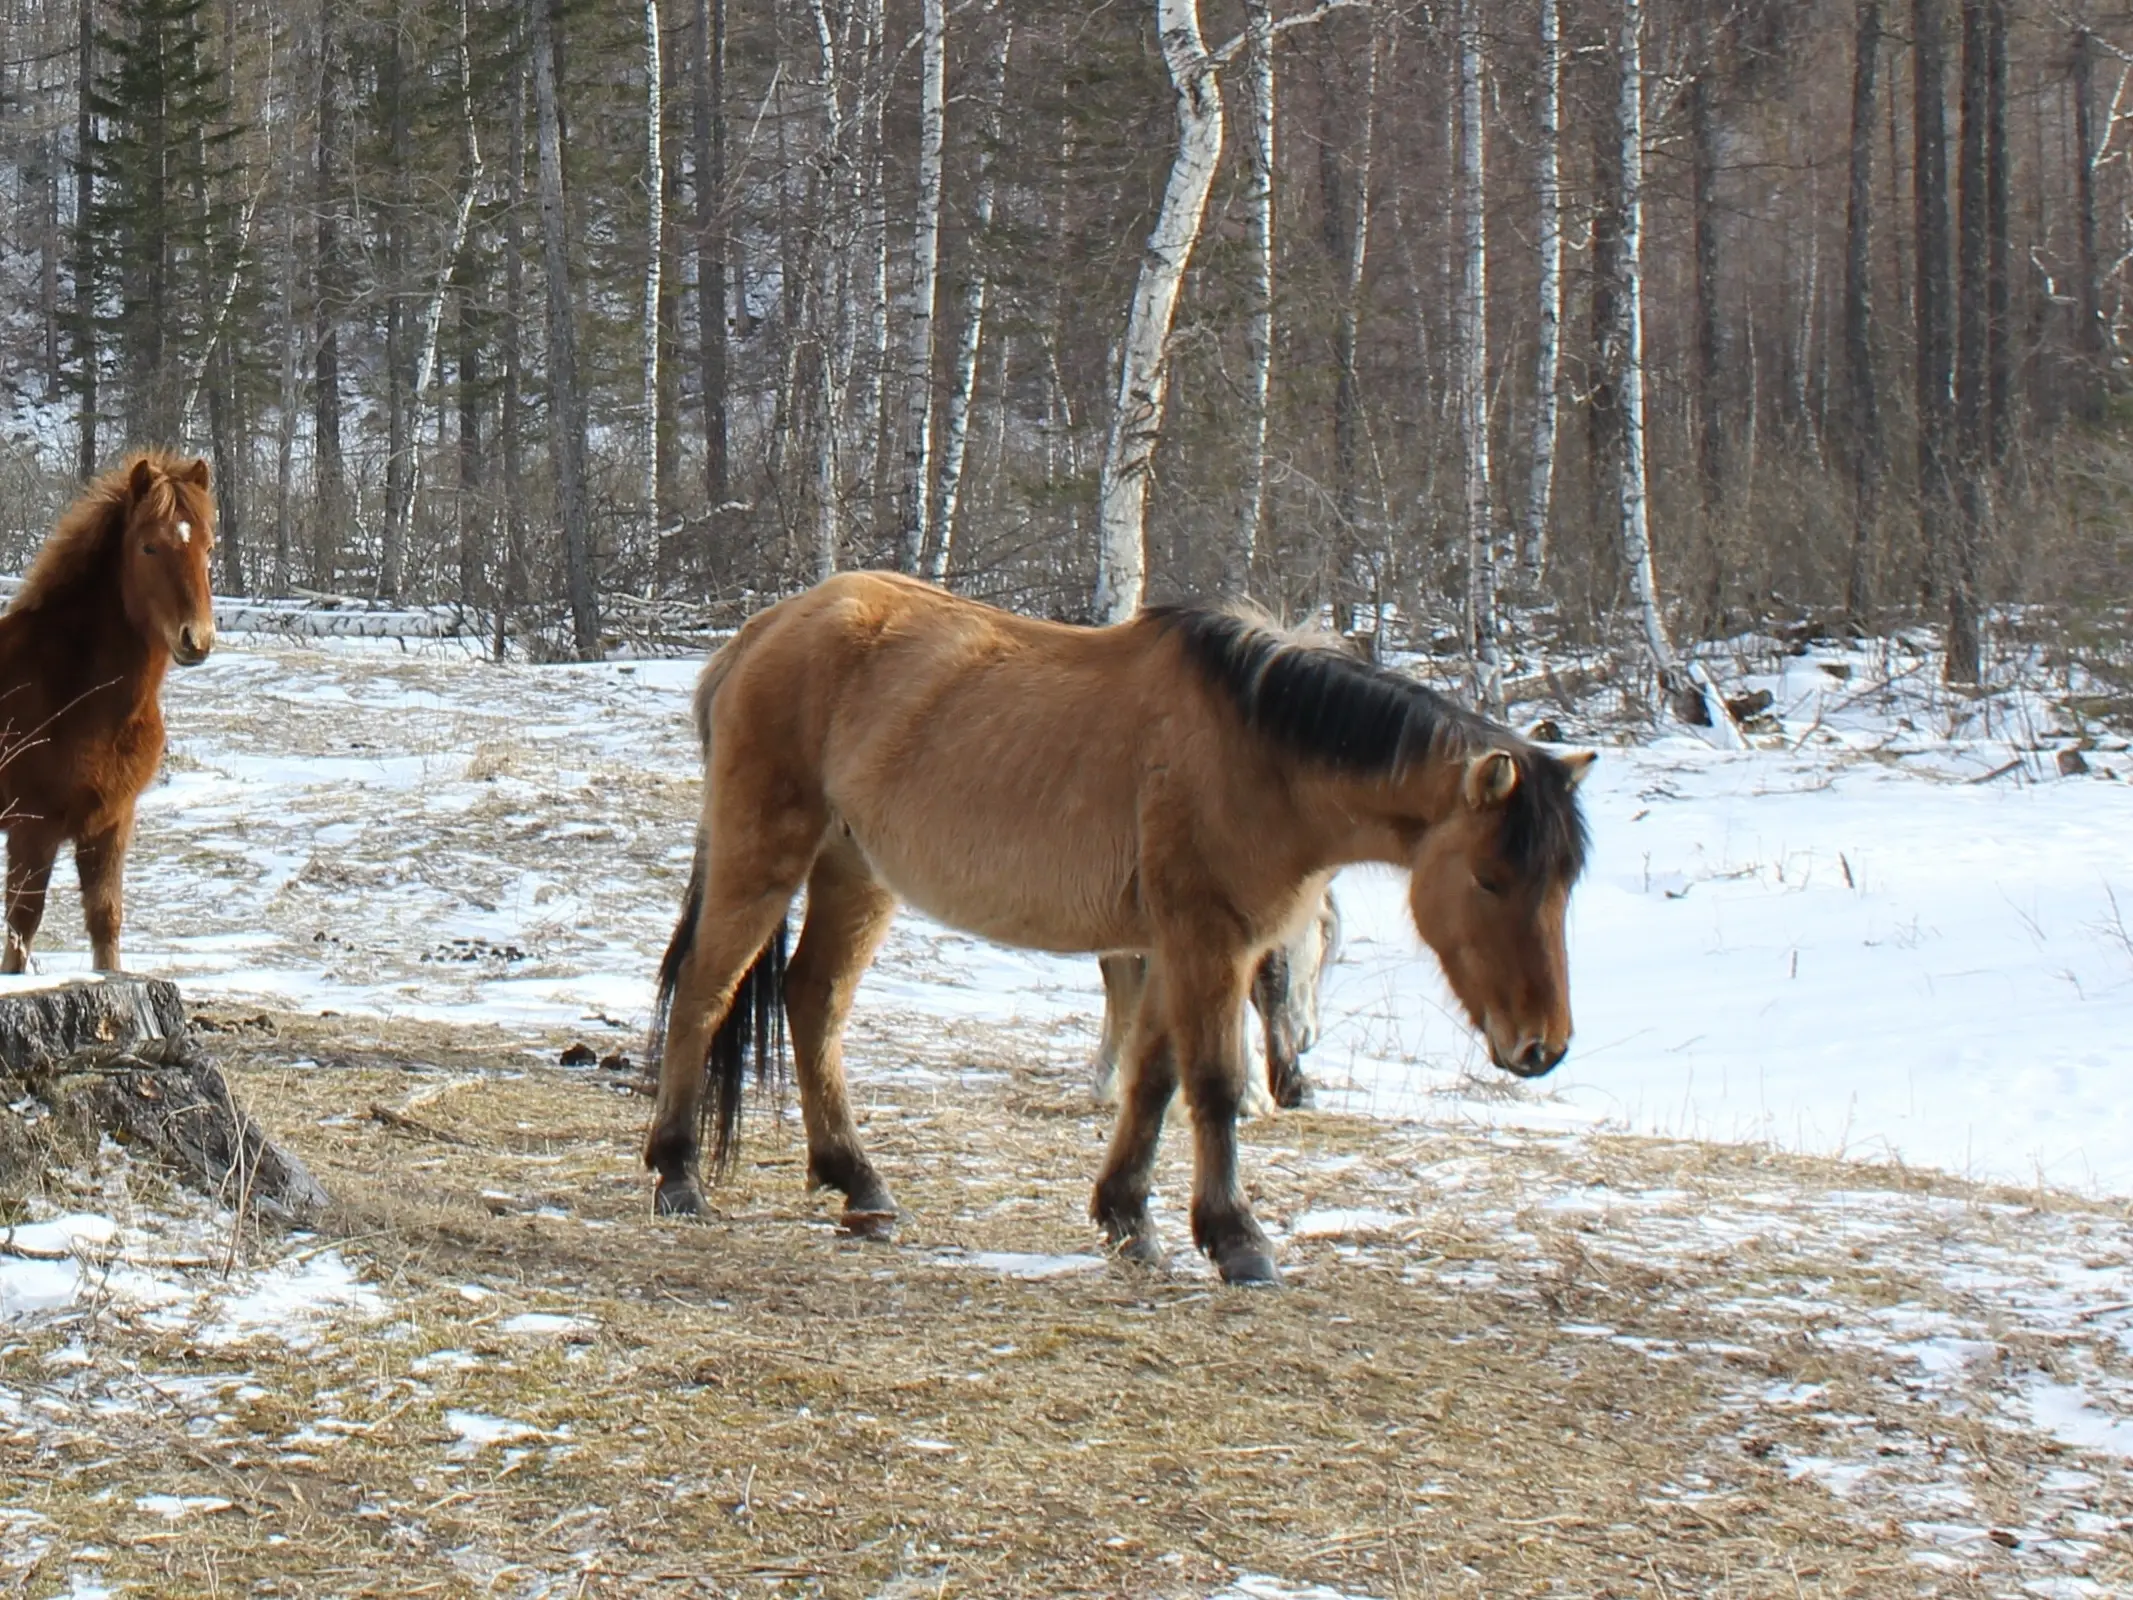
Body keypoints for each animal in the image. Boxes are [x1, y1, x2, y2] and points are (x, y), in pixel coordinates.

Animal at [0, 454, 216, 977]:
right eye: (149, 547)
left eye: (208, 546)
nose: (196, 638)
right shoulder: (31, 827)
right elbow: (21, 929)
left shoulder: (110, 823)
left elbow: (105, 919)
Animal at [639, 576, 1595, 1288]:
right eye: (1489, 878)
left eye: (1563, 883)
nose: (1541, 1048)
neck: (1258, 757)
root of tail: (759, 633)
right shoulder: (1210, 942)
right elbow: (1213, 1084)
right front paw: (1236, 1240)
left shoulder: (1178, 946)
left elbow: (1154, 1080)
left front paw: (1129, 1216)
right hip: (766, 856)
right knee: (705, 994)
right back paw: (677, 1173)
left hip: (856, 873)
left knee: (814, 1002)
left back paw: (859, 1184)